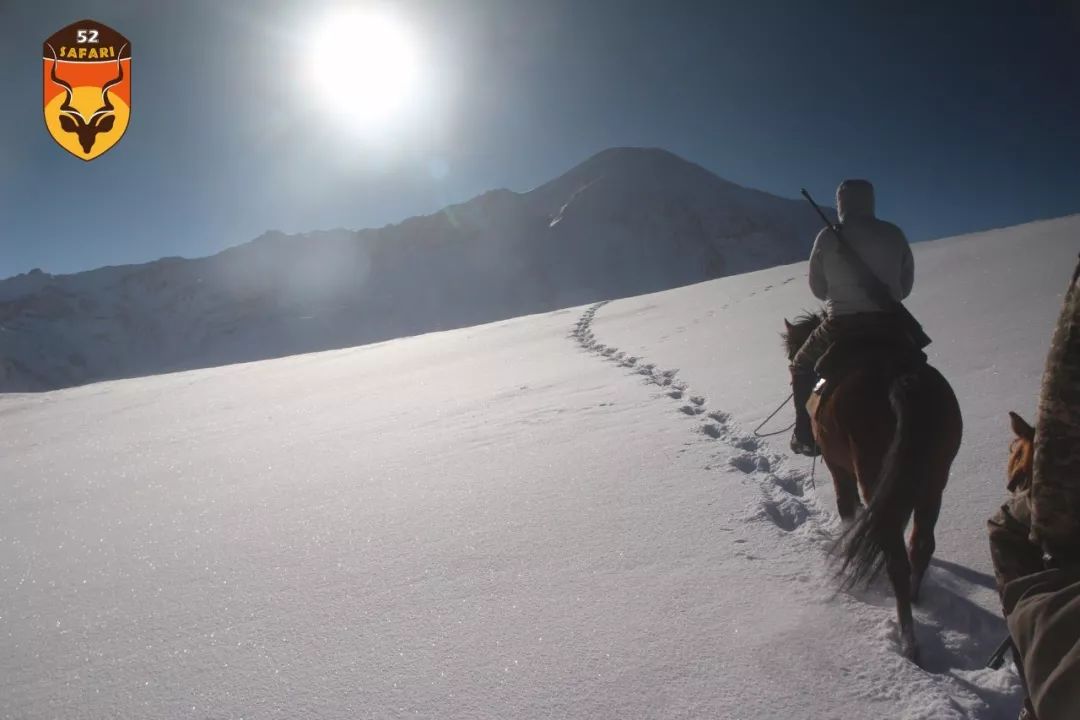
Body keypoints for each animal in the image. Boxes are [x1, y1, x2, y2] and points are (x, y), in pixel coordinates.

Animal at [781, 310, 967, 664]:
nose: (799, 443)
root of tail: (902, 380)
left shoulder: (840, 469)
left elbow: (848, 511)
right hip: (935, 478)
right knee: (920, 543)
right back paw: (915, 600)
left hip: (871, 470)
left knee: (895, 556)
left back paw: (909, 642)